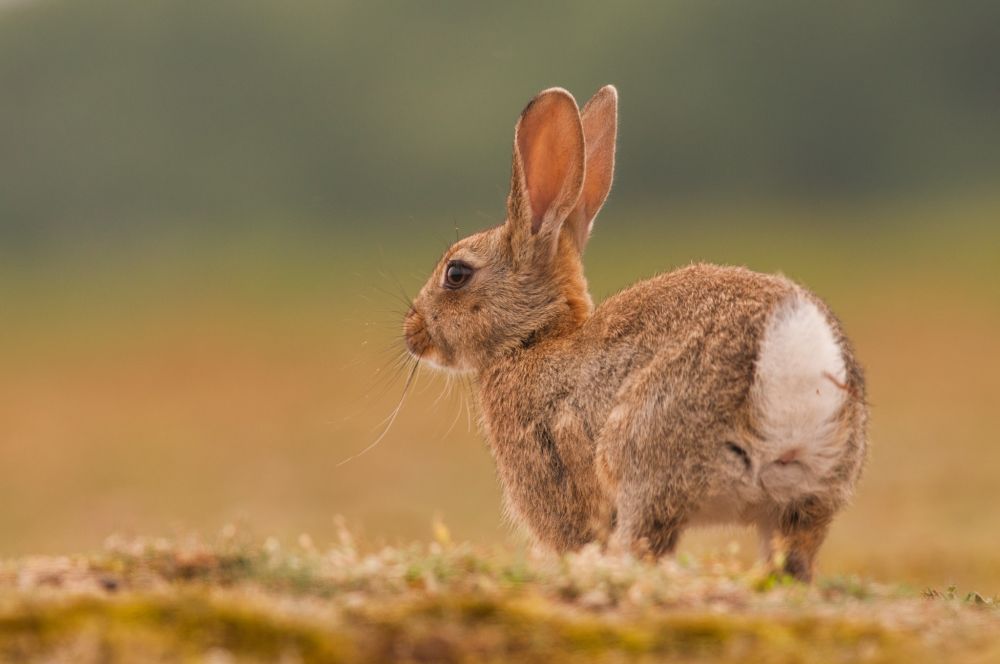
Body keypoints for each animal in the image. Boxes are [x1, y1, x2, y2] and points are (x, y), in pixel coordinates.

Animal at [402, 85, 867, 581]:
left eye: (456, 273)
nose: (413, 333)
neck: (534, 338)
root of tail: (791, 349)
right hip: (811, 494)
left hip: (645, 462)